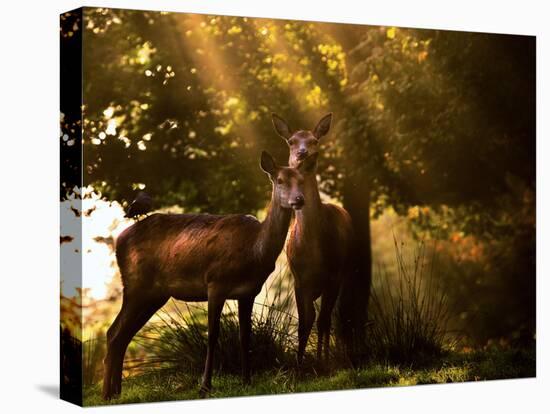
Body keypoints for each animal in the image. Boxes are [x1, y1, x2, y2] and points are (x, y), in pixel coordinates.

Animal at [102, 150, 316, 400]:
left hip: (154, 294)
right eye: (280, 180)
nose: (299, 200)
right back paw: (107, 394)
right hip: (135, 284)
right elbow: (213, 335)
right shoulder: (215, 282)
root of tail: (118, 240)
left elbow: (245, 336)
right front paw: (205, 386)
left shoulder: (249, 292)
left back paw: (116, 392)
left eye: (301, 180)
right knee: (114, 332)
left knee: (123, 334)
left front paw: (247, 380)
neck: (254, 249)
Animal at [272, 112, 358, 362]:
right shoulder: (299, 279)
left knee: (335, 316)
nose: (302, 153)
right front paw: (299, 362)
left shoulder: (334, 274)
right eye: (291, 141)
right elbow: (304, 321)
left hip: (347, 273)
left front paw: (323, 361)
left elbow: (323, 321)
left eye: (314, 140)